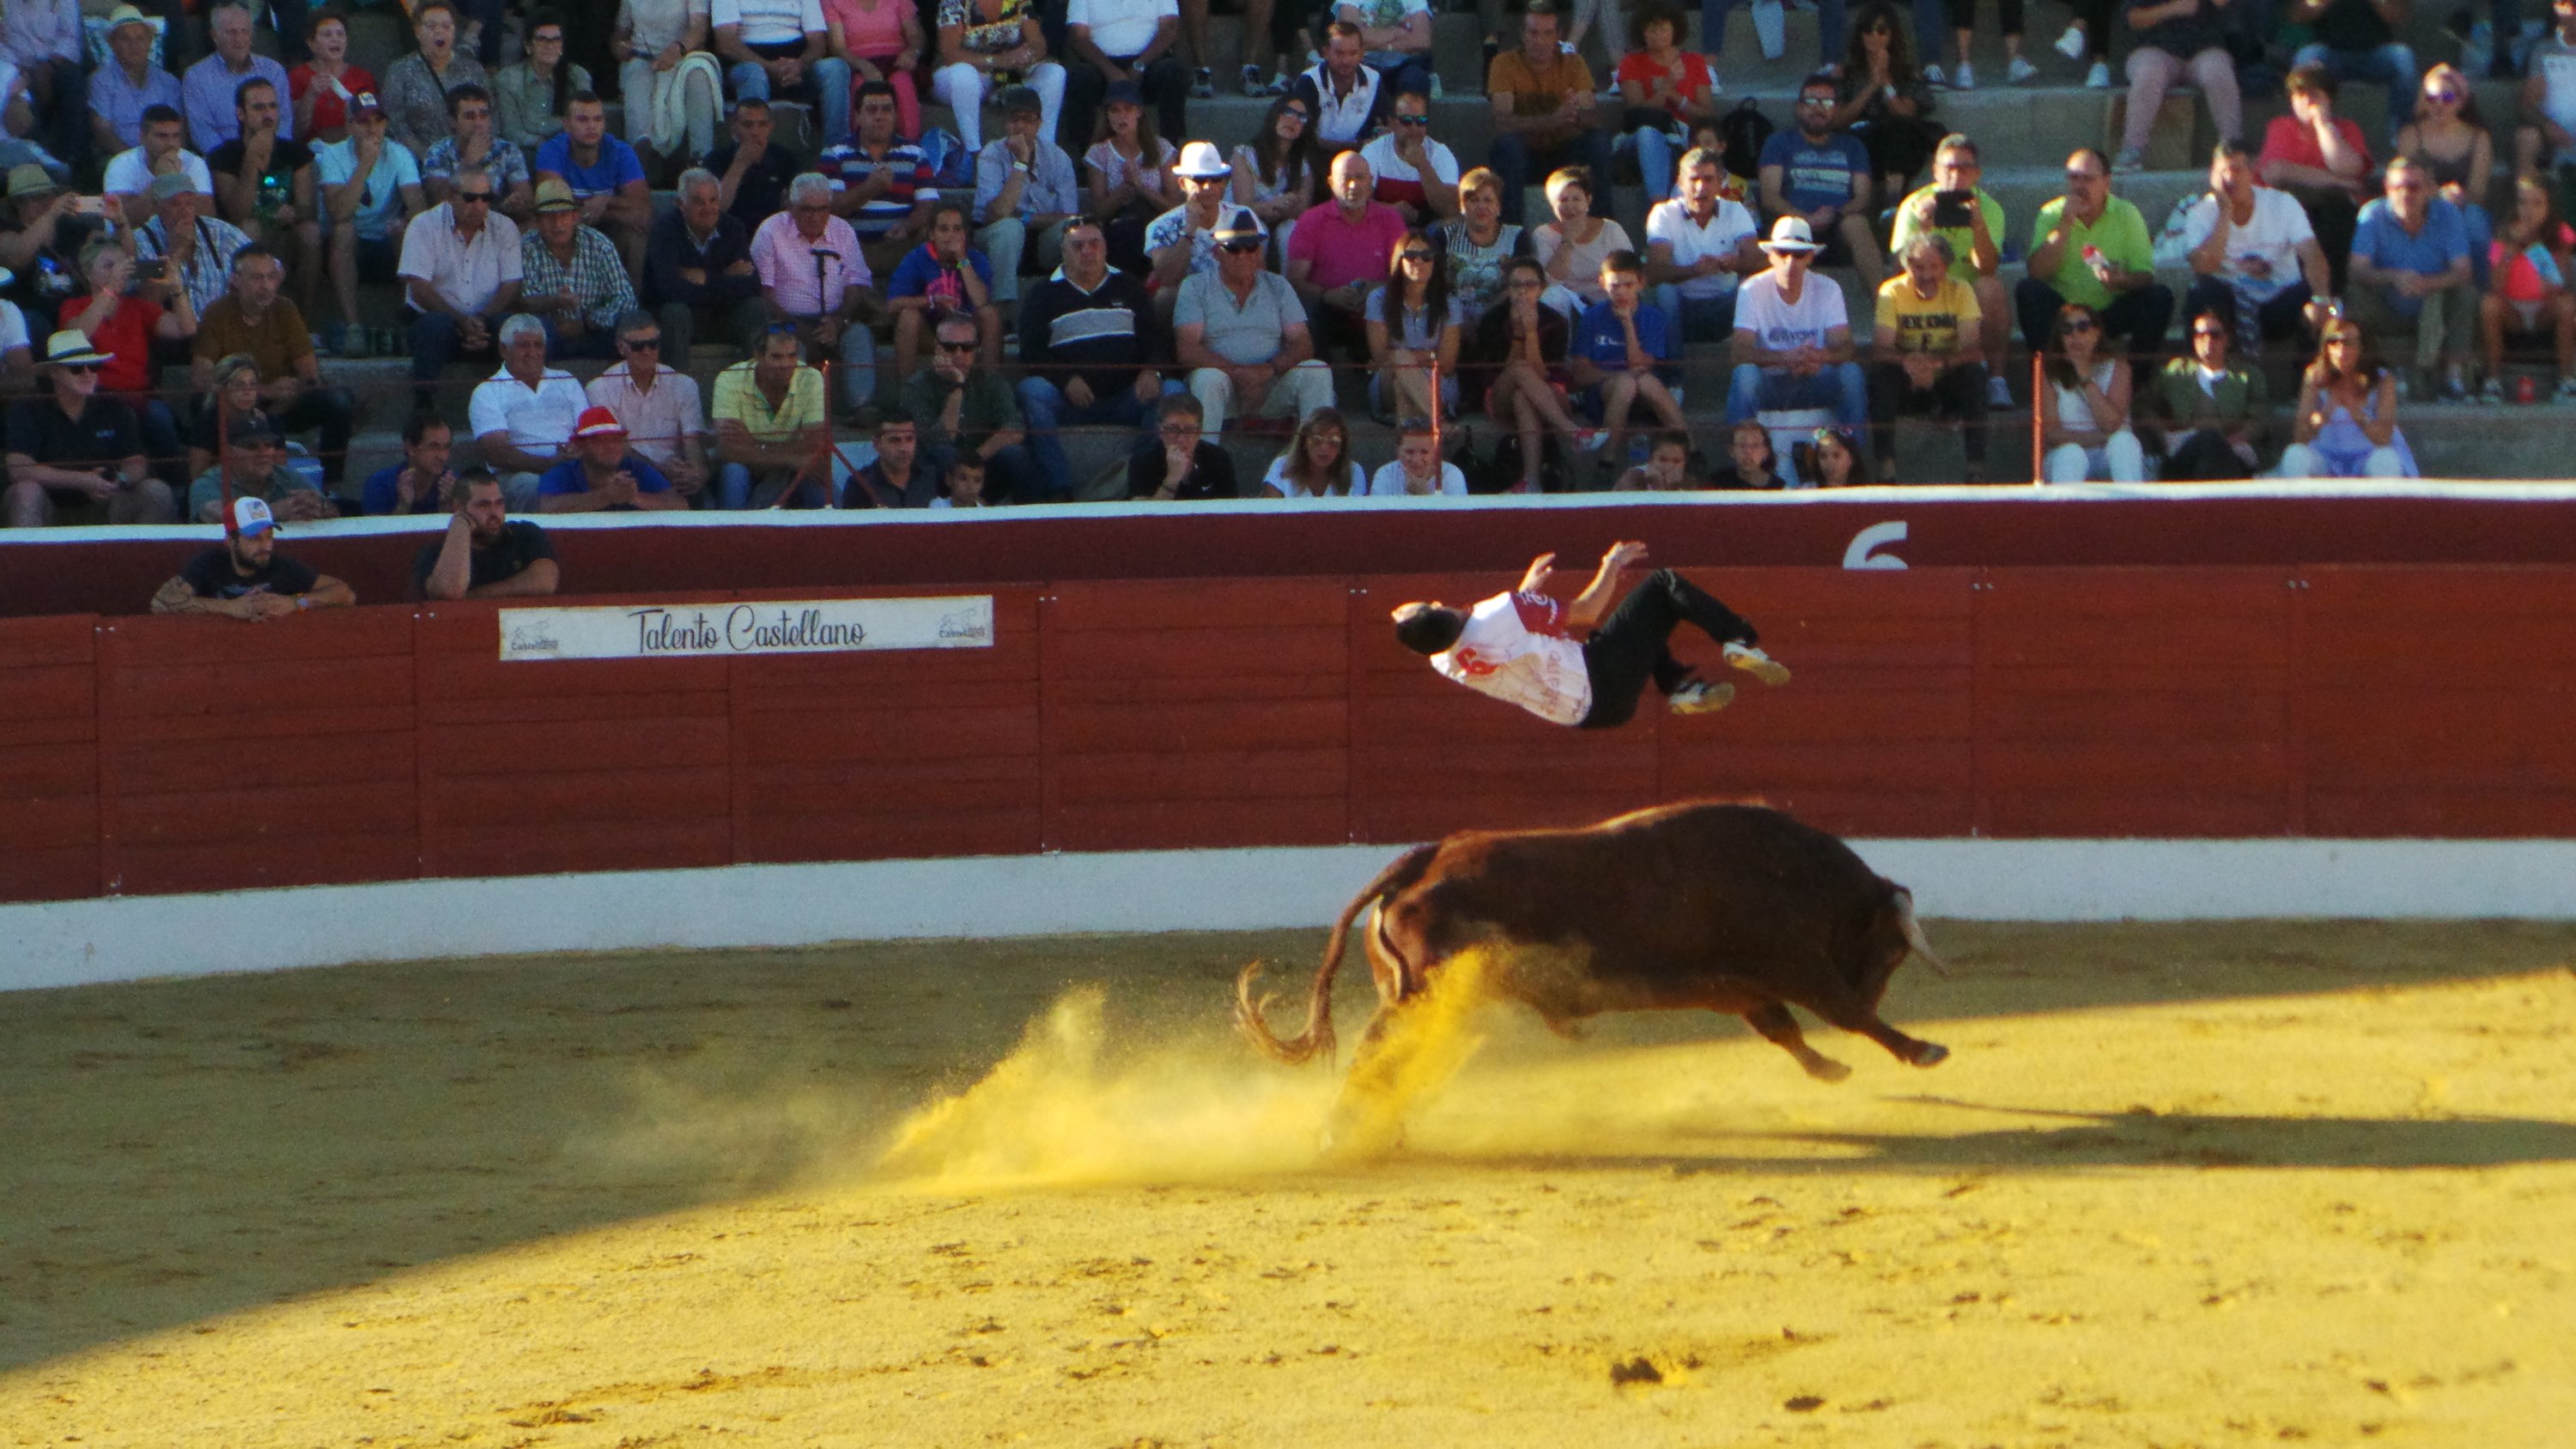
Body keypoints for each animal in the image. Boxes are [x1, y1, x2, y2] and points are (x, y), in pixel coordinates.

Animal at [1235, 801, 1953, 1142]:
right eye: (1894, 951)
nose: (1873, 983)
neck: (1801, 874)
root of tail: (1427, 858)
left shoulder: (1742, 989)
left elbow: (1786, 1029)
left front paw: (1829, 1069)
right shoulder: (1795, 962)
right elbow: (1846, 1013)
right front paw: (1923, 1050)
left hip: (1411, 994)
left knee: (1388, 1062)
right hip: (1418, 996)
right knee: (1376, 1057)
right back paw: (1343, 1134)